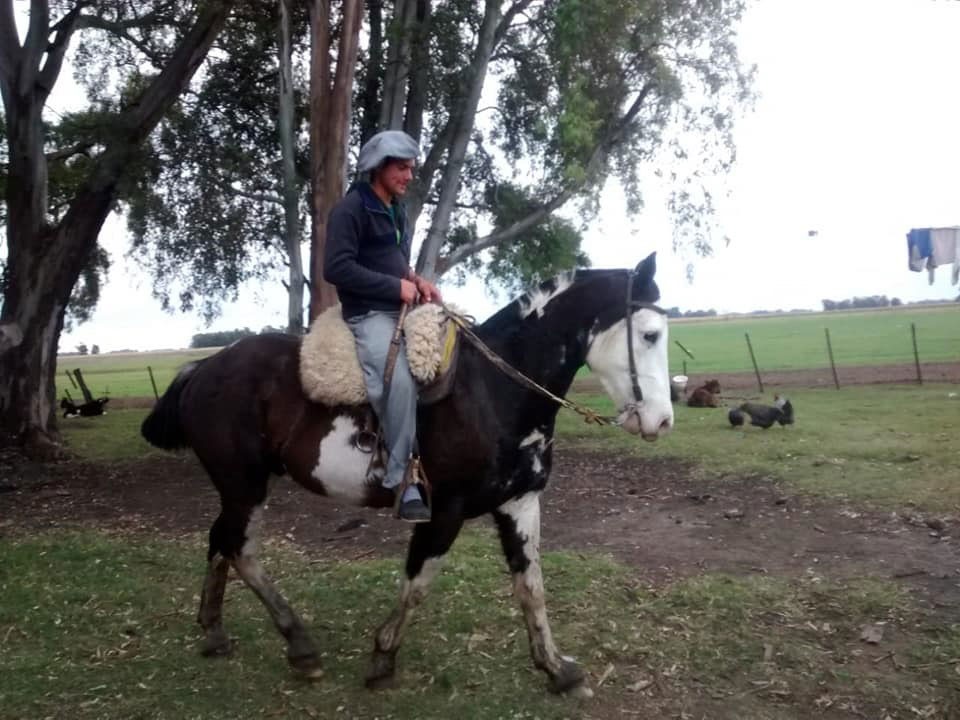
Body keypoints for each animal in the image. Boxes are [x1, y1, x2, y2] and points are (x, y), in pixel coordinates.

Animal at [140, 253, 673, 698]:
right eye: (650, 334)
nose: (663, 421)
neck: (494, 389)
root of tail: (203, 367)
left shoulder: (519, 504)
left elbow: (532, 588)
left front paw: (556, 669)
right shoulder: (444, 512)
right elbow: (417, 584)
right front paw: (382, 658)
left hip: (239, 488)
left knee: (219, 541)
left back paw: (214, 631)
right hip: (244, 485)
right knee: (240, 549)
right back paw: (300, 646)